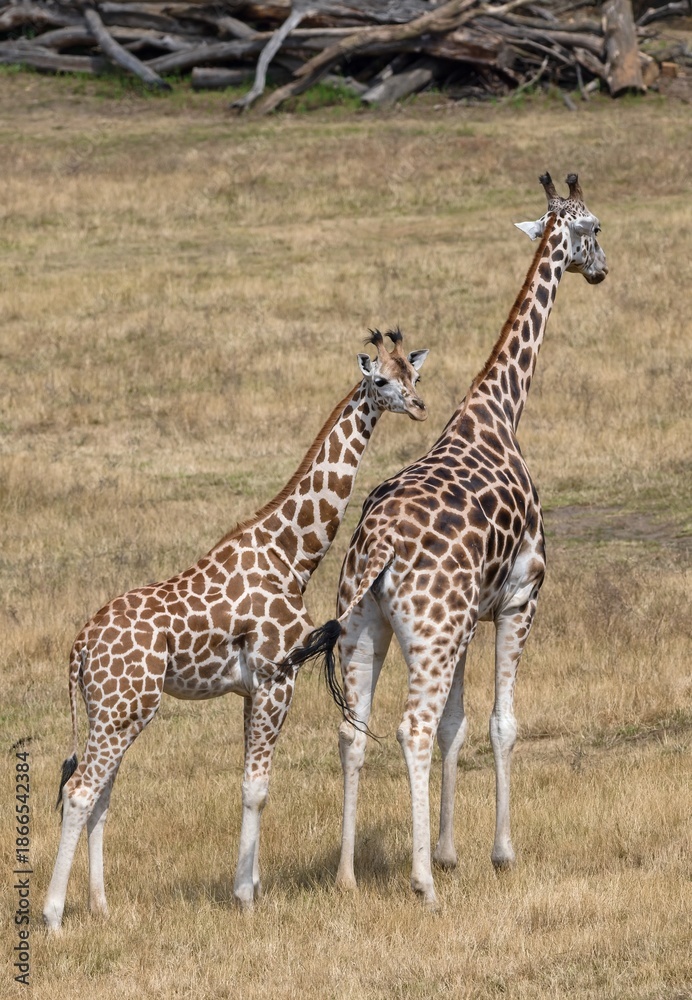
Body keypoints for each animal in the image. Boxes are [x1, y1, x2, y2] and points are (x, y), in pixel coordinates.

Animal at [42, 329, 429, 930]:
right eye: (382, 380)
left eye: (415, 376)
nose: (417, 406)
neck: (291, 554)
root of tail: (79, 648)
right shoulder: (276, 678)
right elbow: (257, 787)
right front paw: (245, 896)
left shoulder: (251, 689)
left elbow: (249, 785)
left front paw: (250, 885)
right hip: (122, 707)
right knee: (81, 790)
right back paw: (54, 917)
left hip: (114, 709)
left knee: (99, 794)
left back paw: (102, 908)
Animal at [285, 173, 608, 908]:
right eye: (596, 228)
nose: (602, 269)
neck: (498, 412)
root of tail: (377, 548)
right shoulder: (520, 598)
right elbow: (500, 724)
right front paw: (498, 854)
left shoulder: (469, 618)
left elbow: (458, 728)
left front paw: (450, 849)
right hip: (429, 634)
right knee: (411, 727)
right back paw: (421, 885)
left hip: (366, 629)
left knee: (353, 730)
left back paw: (347, 875)